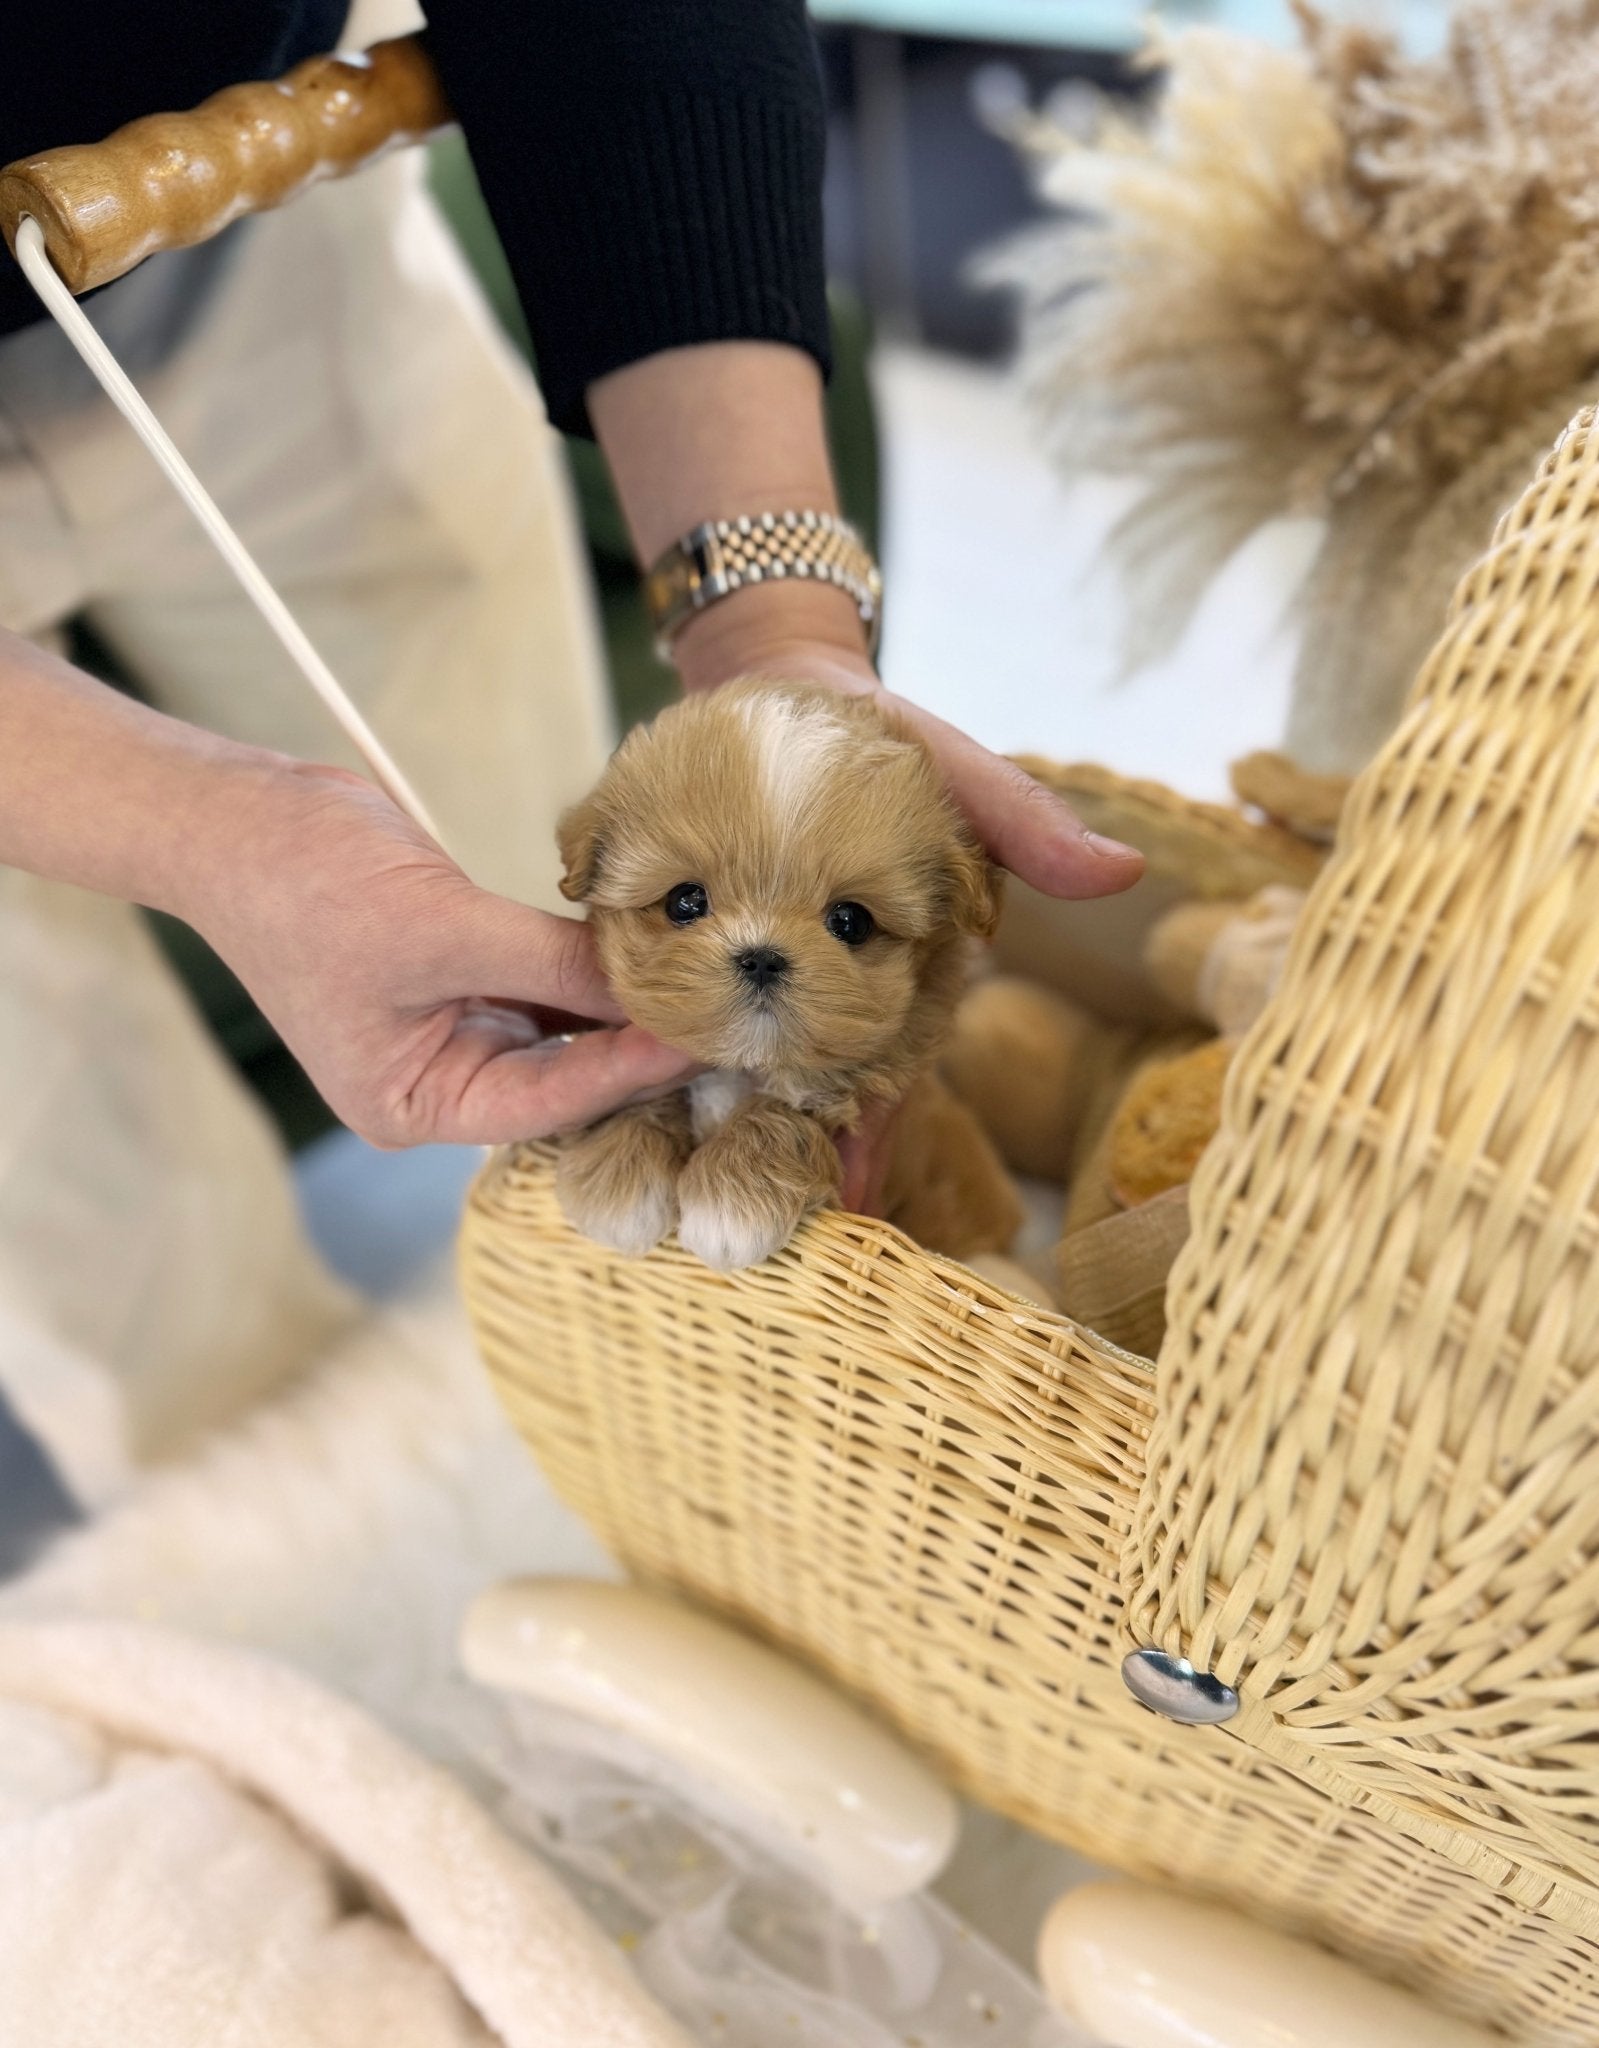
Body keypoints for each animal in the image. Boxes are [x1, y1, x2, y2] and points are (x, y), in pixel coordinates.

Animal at [556, 679, 990, 1269]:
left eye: (850, 922)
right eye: (685, 902)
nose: (761, 956)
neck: (745, 1063)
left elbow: (787, 1110)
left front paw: (732, 1205)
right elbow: (646, 1090)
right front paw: (620, 1180)